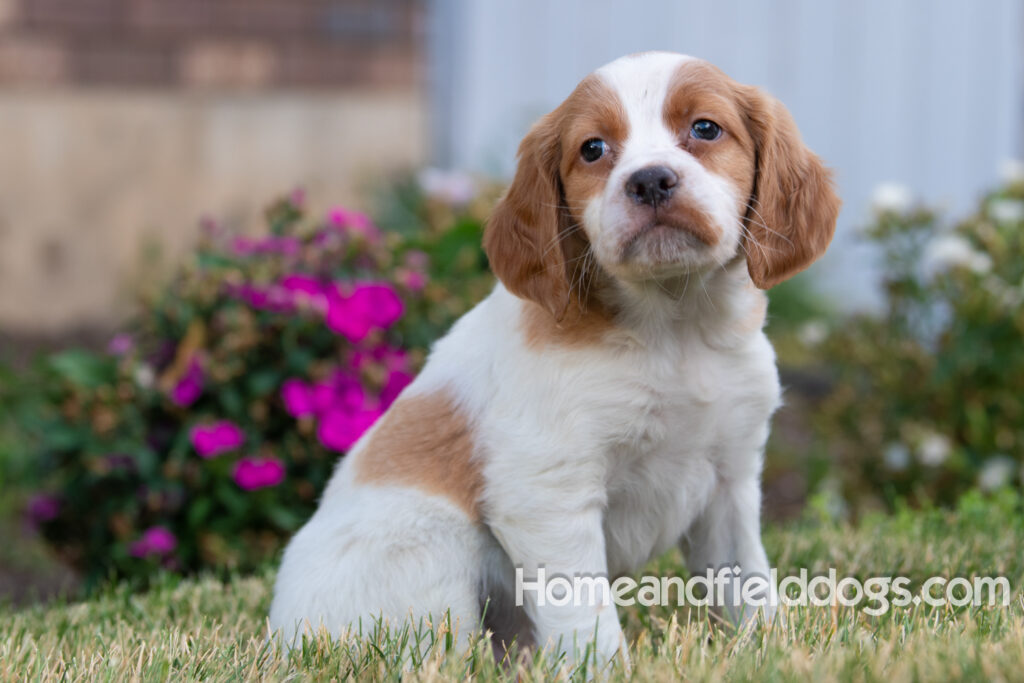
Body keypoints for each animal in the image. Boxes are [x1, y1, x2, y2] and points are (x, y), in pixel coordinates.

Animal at [268, 52, 835, 667]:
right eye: (593, 148)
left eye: (705, 128)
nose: (650, 180)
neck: (674, 328)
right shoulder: (547, 492)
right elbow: (584, 611)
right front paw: (606, 671)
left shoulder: (731, 479)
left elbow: (745, 580)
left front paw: (770, 650)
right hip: (431, 548)